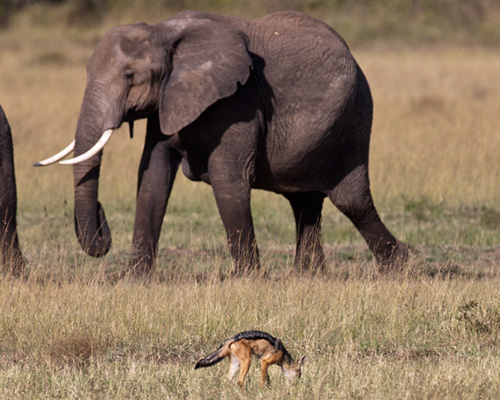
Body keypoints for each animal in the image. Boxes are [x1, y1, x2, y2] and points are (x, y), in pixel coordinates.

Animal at [37, 9, 408, 274]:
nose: (102, 219)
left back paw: (399, 268)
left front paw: (249, 282)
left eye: (129, 76)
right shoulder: (168, 100)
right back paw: (309, 278)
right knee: (304, 202)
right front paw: (135, 282)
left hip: (354, 116)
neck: (164, 32)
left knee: (350, 200)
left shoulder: (238, 101)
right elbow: (152, 176)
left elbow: (228, 178)